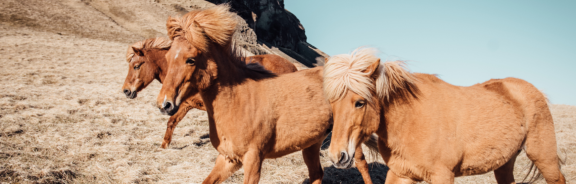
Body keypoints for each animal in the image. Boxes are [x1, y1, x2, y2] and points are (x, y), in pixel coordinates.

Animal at [123, 38, 300, 149]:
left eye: (136, 66)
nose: (126, 90)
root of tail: (292, 67)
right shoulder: (186, 105)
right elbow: (172, 122)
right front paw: (164, 145)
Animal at [155, 5, 376, 183]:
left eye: (190, 60)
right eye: (167, 56)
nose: (164, 104)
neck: (238, 101)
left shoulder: (253, 160)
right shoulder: (228, 159)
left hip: (348, 139)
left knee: (362, 164)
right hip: (312, 143)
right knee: (316, 174)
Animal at [324, 47, 568, 184]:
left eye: (360, 102)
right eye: (332, 104)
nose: (338, 156)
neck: (411, 120)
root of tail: (533, 90)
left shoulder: (442, 175)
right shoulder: (401, 174)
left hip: (543, 156)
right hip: (505, 163)